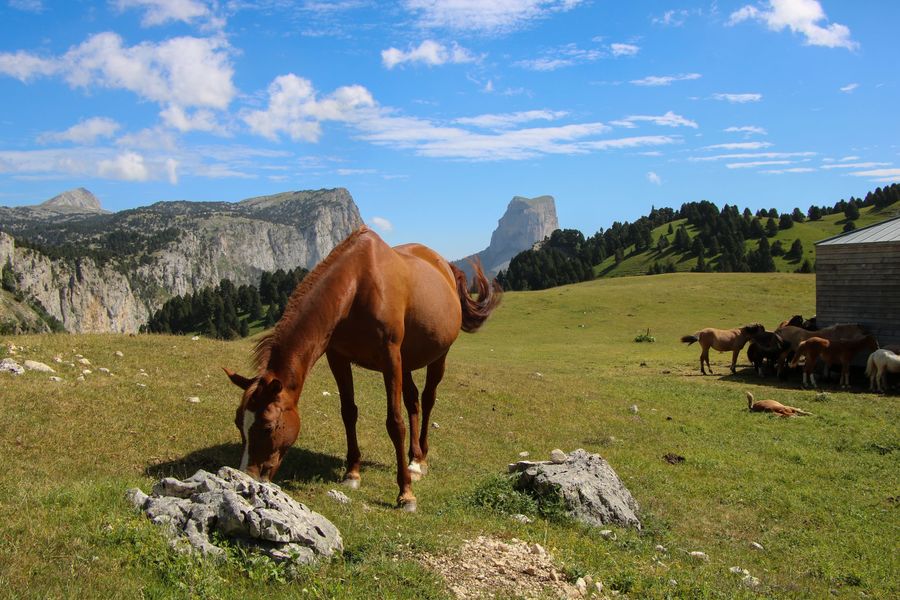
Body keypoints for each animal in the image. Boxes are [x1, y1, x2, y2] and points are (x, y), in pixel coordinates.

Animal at [224, 227, 502, 511]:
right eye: (238, 422)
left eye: (268, 427)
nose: (247, 476)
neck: (357, 285)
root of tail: (444, 265)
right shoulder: (338, 357)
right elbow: (349, 412)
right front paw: (352, 473)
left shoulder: (390, 359)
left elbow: (395, 422)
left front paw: (405, 494)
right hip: (406, 363)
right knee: (413, 401)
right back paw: (413, 458)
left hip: (437, 357)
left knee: (427, 399)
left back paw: (419, 461)